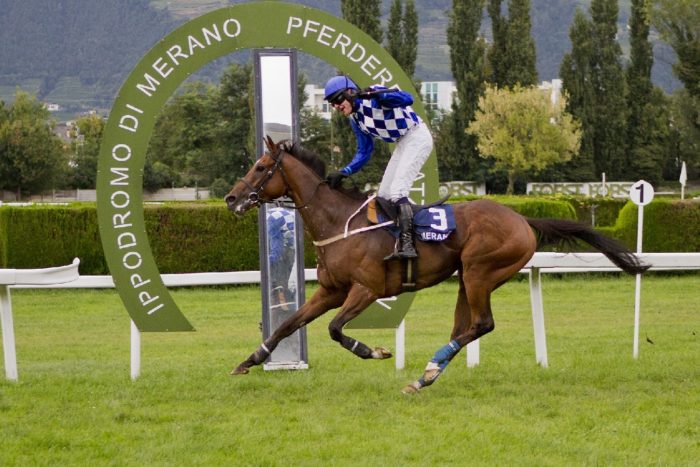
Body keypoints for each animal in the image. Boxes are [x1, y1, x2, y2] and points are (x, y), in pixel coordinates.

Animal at [224, 137, 644, 394]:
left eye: (261, 166)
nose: (231, 198)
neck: (339, 222)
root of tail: (523, 220)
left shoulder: (366, 290)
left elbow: (334, 329)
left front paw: (375, 351)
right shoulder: (331, 290)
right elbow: (287, 324)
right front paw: (249, 361)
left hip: (479, 270)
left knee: (482, 324)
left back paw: (427, 370)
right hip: (466, 278)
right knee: (465, 326)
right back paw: (425, 377)